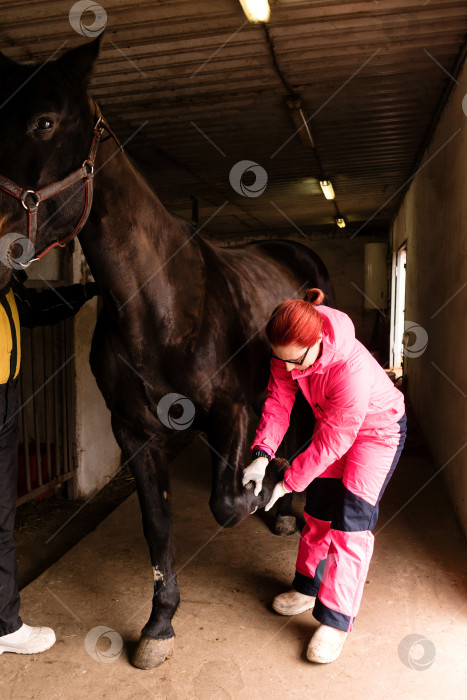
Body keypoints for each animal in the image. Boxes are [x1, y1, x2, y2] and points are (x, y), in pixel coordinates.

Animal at [0, 39, 336, 672]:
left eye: (44, 122)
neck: (164, 307)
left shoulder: (232, 410)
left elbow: (227, 501)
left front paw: (263, 493)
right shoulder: (132, 430)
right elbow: (158, 523)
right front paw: (159, 623)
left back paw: (287, 507)